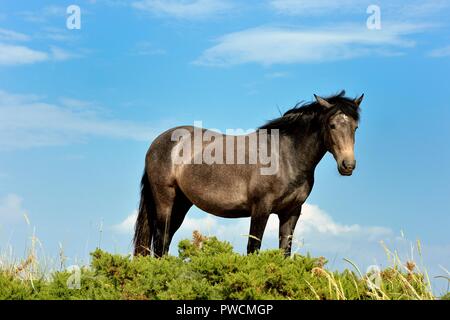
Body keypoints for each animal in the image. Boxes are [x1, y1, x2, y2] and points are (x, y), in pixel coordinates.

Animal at [133, 90, 362, 258]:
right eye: (332, 125)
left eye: (355, 127)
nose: (348, 165)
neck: (285, 156)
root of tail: (158, 142)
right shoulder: (261, 209)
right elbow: (253, 249)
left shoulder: (291, 213)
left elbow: (284, 253)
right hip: (165, 201)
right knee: (161, 242)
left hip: (181, 204)